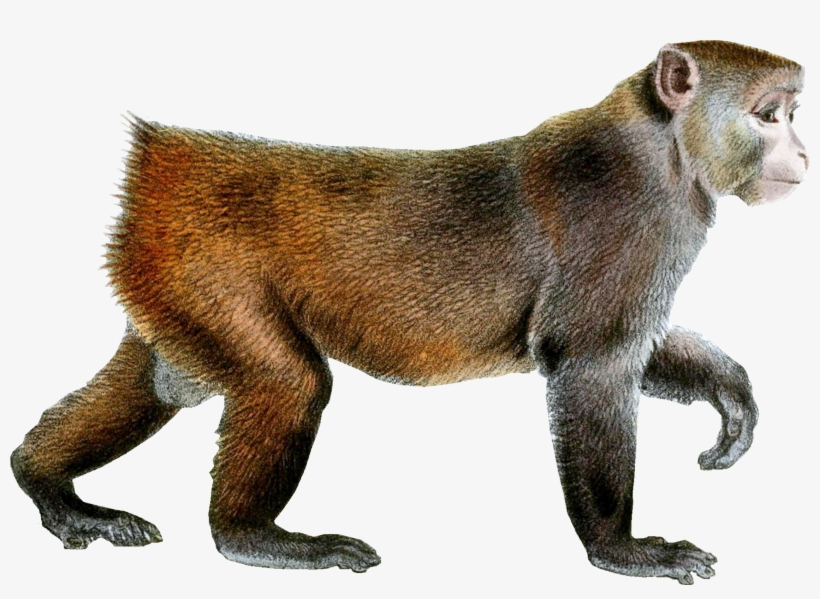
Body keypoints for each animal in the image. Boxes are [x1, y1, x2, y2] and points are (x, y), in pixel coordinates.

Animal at [10, 41, 808, 584]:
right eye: (770, 116)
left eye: (793, 115)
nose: (802, 153)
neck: (664, 145)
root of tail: (168, 157)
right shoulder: (635, 214)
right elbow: (589, 363)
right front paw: (620, 549)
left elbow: (627, 350)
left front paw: (730, 393)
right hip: (200, 266)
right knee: (287, 381)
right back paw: (251, 536)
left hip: (165, 277)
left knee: (158, 382)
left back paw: (42, 480)